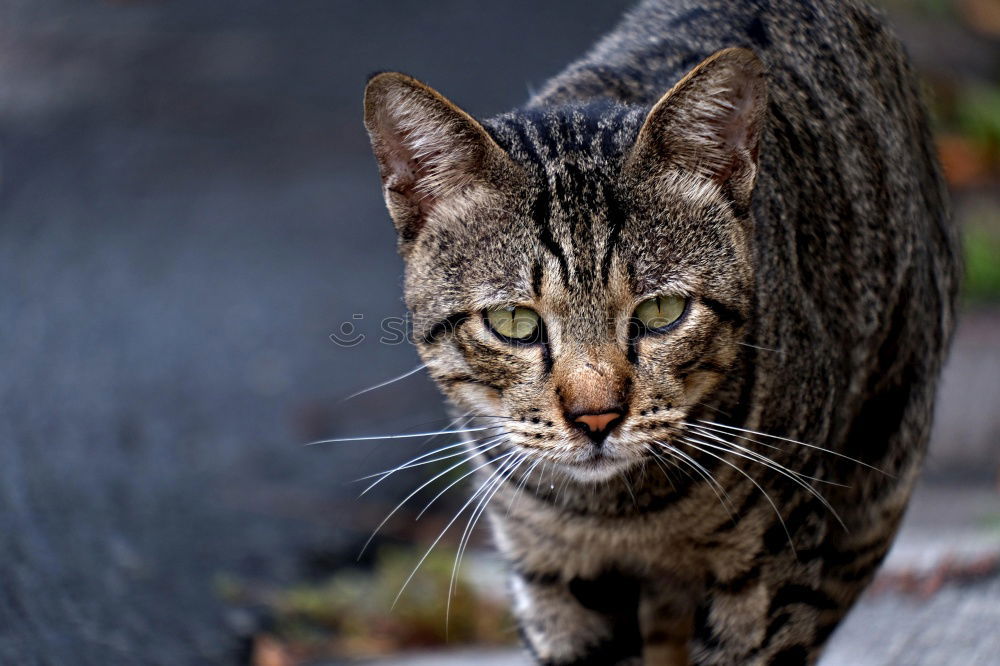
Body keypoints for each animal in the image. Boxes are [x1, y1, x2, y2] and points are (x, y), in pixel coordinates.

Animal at [362, 1, 960, 660]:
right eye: (514, 322)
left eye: (661, 312)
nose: (596, 417)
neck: (619, 516)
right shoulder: (552, 576)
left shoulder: (770, 573)